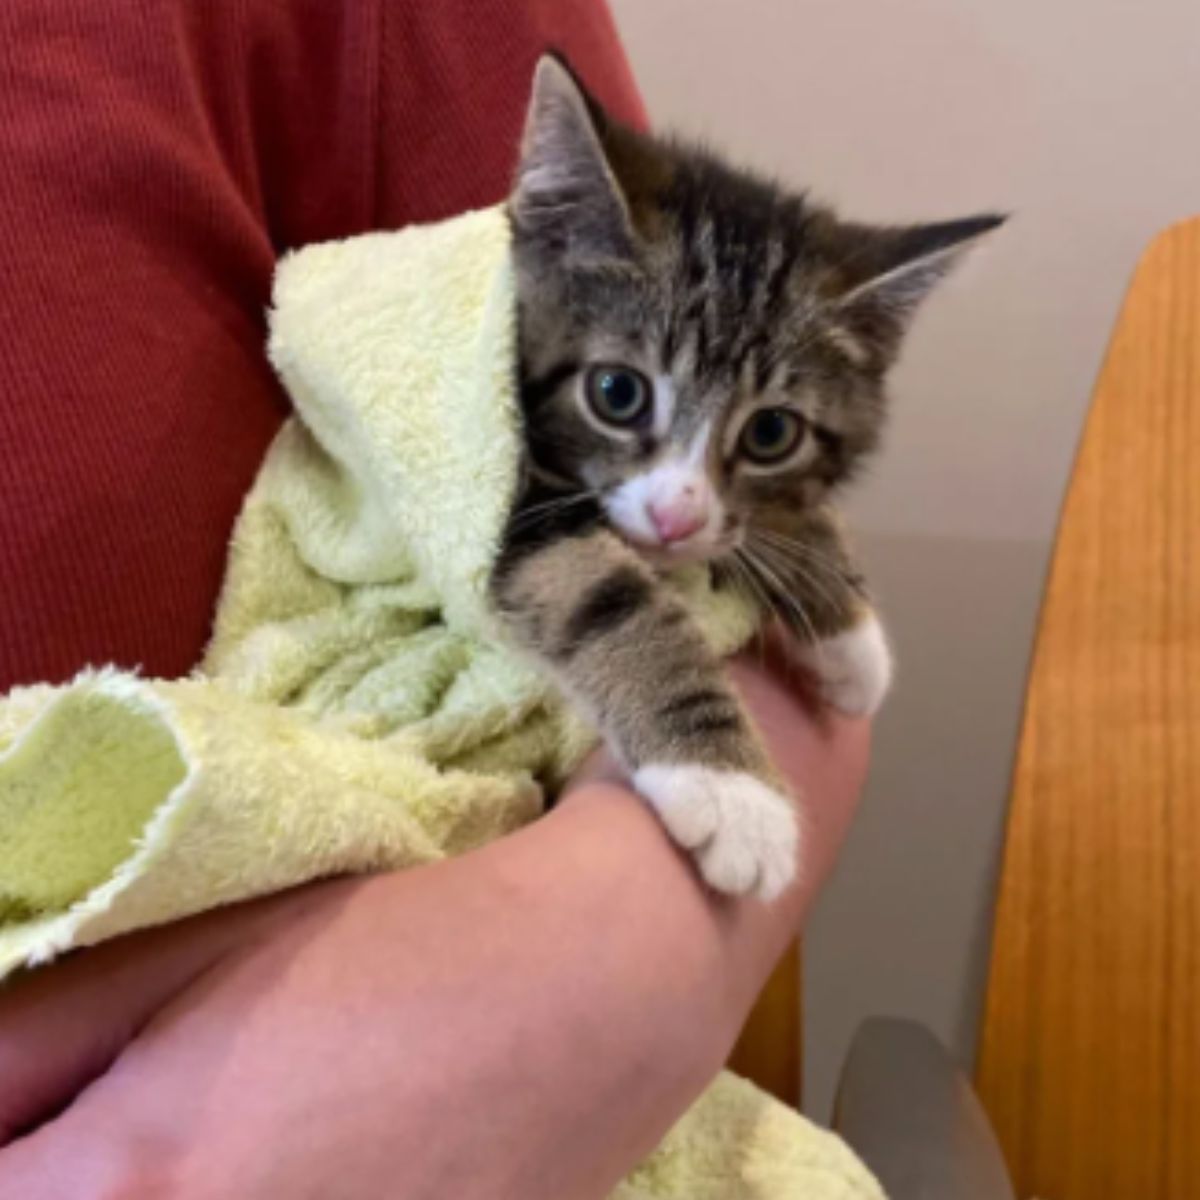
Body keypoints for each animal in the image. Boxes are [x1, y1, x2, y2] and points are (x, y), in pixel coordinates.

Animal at [492, 56, 998, 902]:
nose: (676, 517)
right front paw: (733, 792)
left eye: (770, 433)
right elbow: (604, 594)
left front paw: (848, 632)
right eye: (617, 392)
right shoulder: (506, 501)